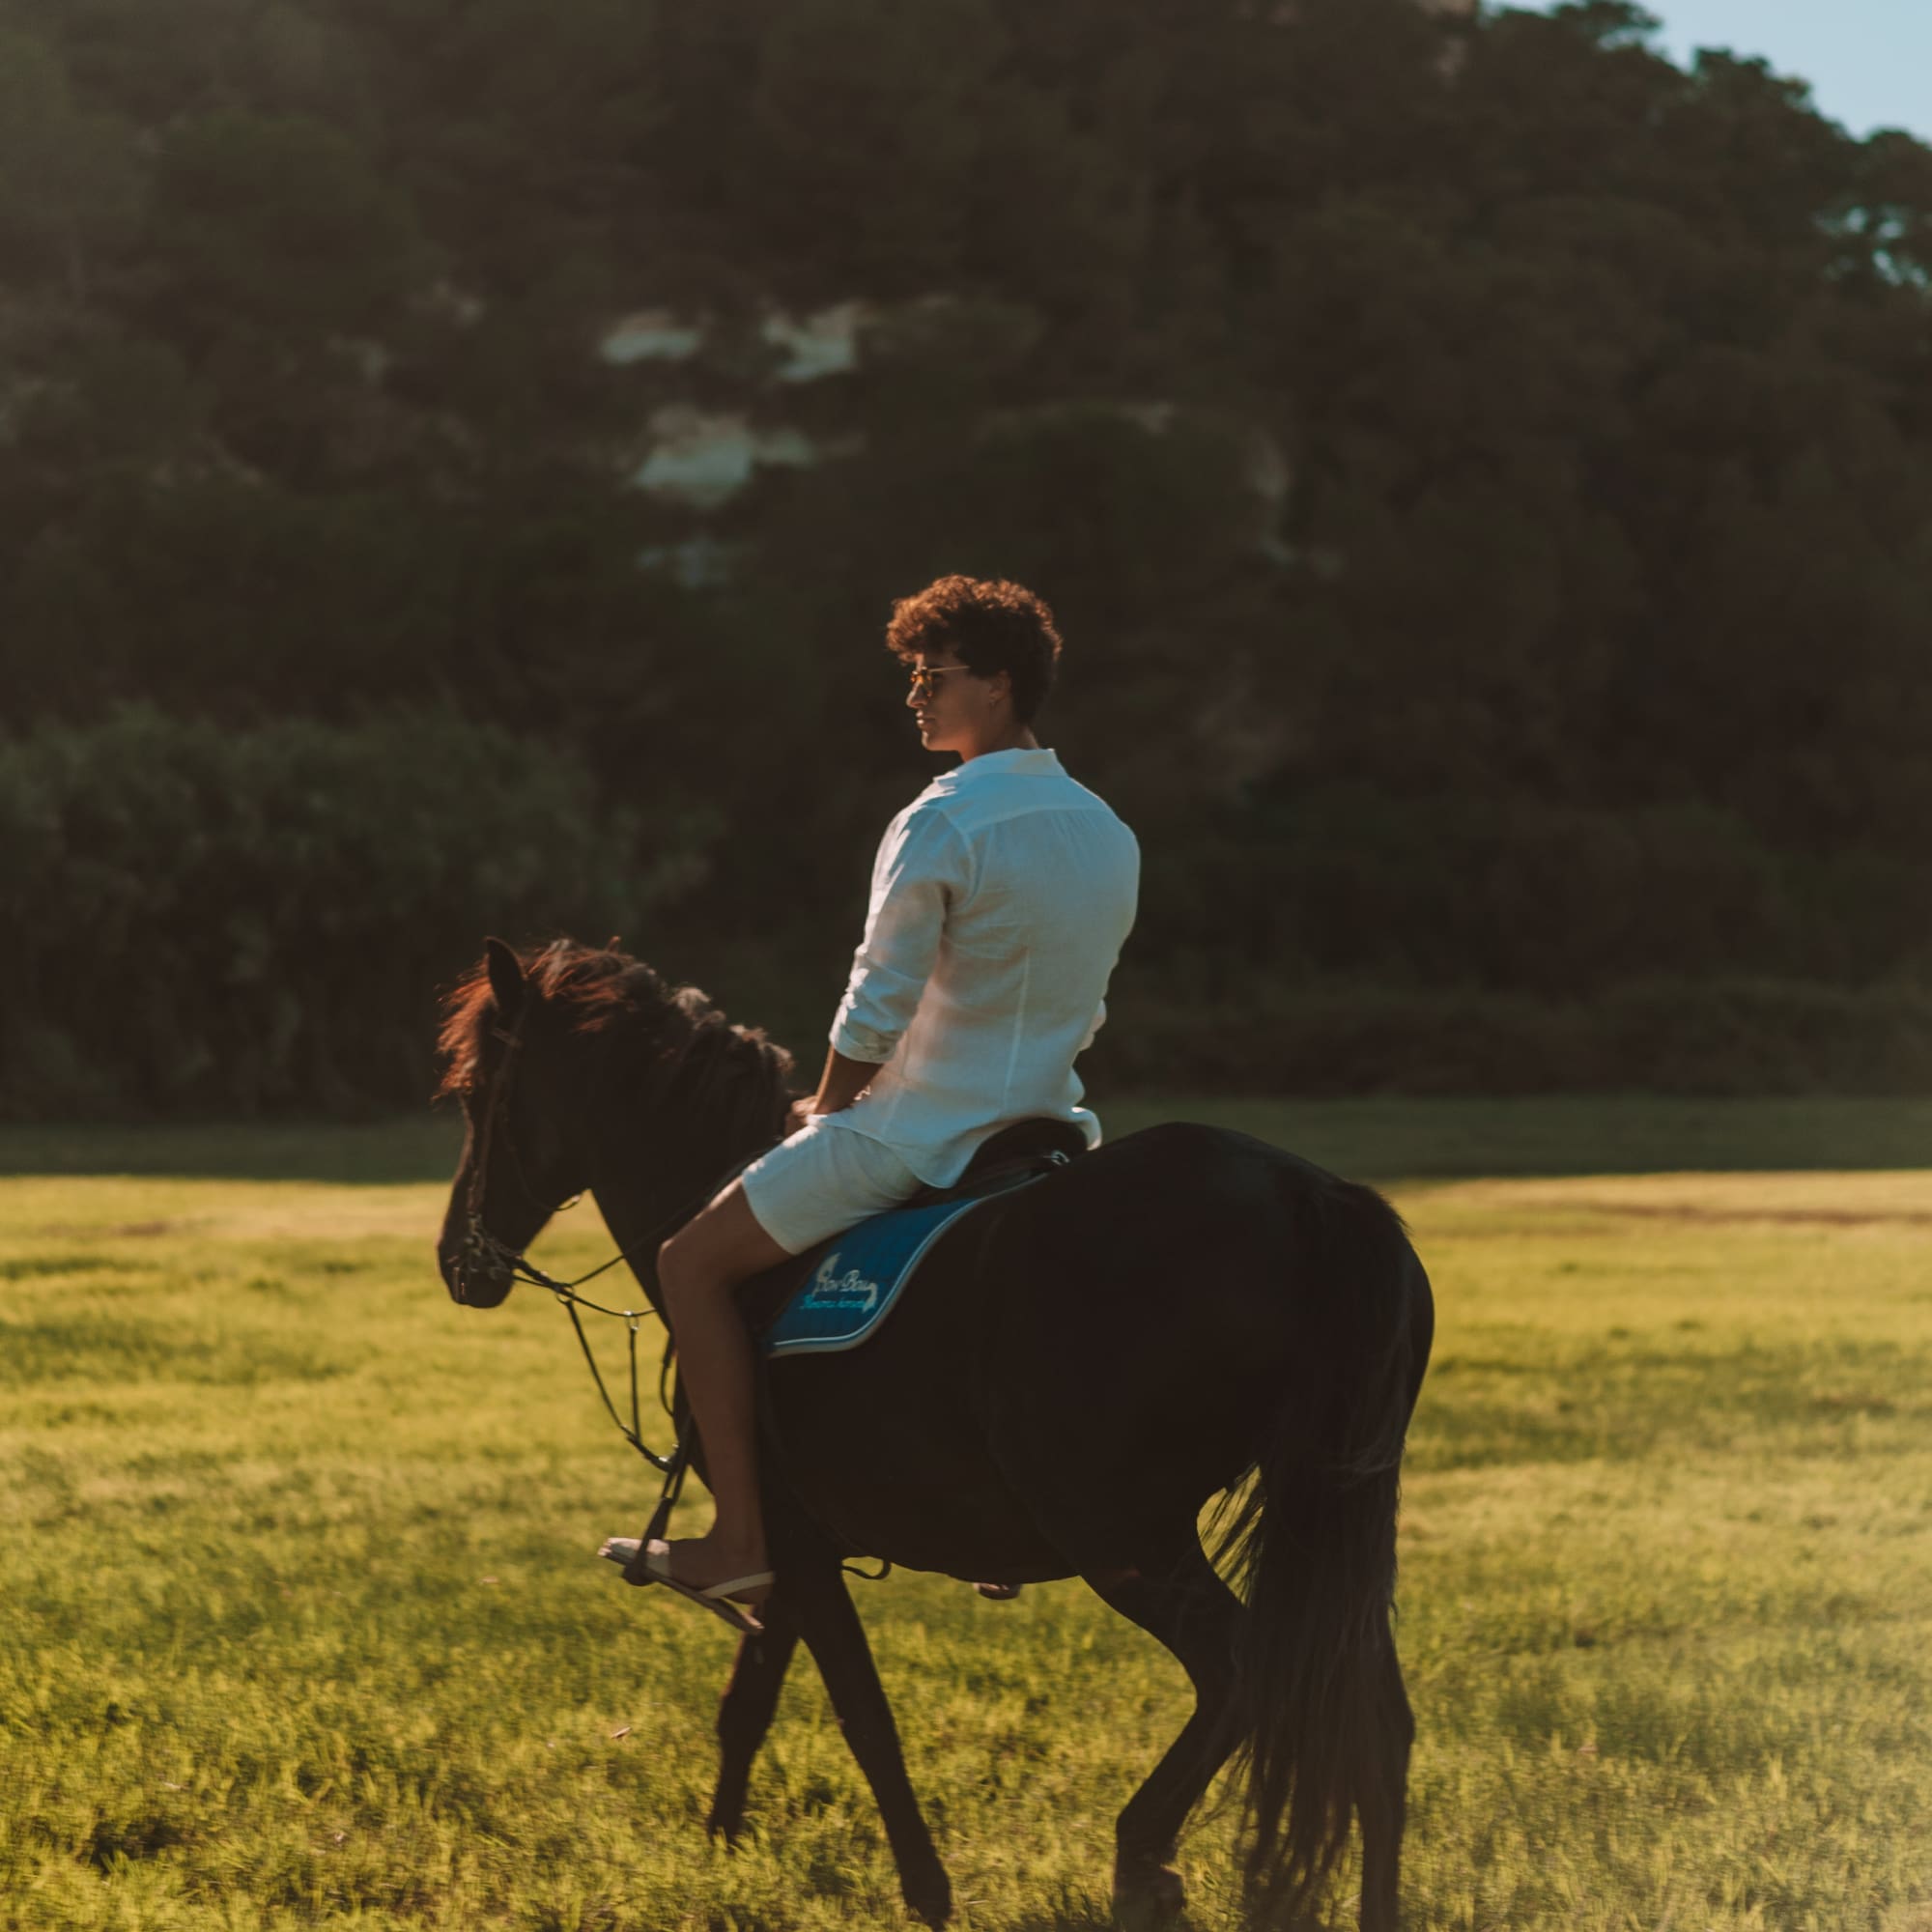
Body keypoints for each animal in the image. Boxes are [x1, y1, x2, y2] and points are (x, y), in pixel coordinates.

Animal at [434, 937, 1434, 1930]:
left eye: (478, 1093)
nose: (458, 1262)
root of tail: (1310, 1196)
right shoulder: (792, 1549)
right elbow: (748, 1703)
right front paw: (719, 1852)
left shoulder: (796, 1542)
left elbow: (863, 1719)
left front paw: (925, 1892)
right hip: (1319, 1518)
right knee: (1371, 1721)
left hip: (1121, 1536)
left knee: (1247, 1673)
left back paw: (1143, 1854)